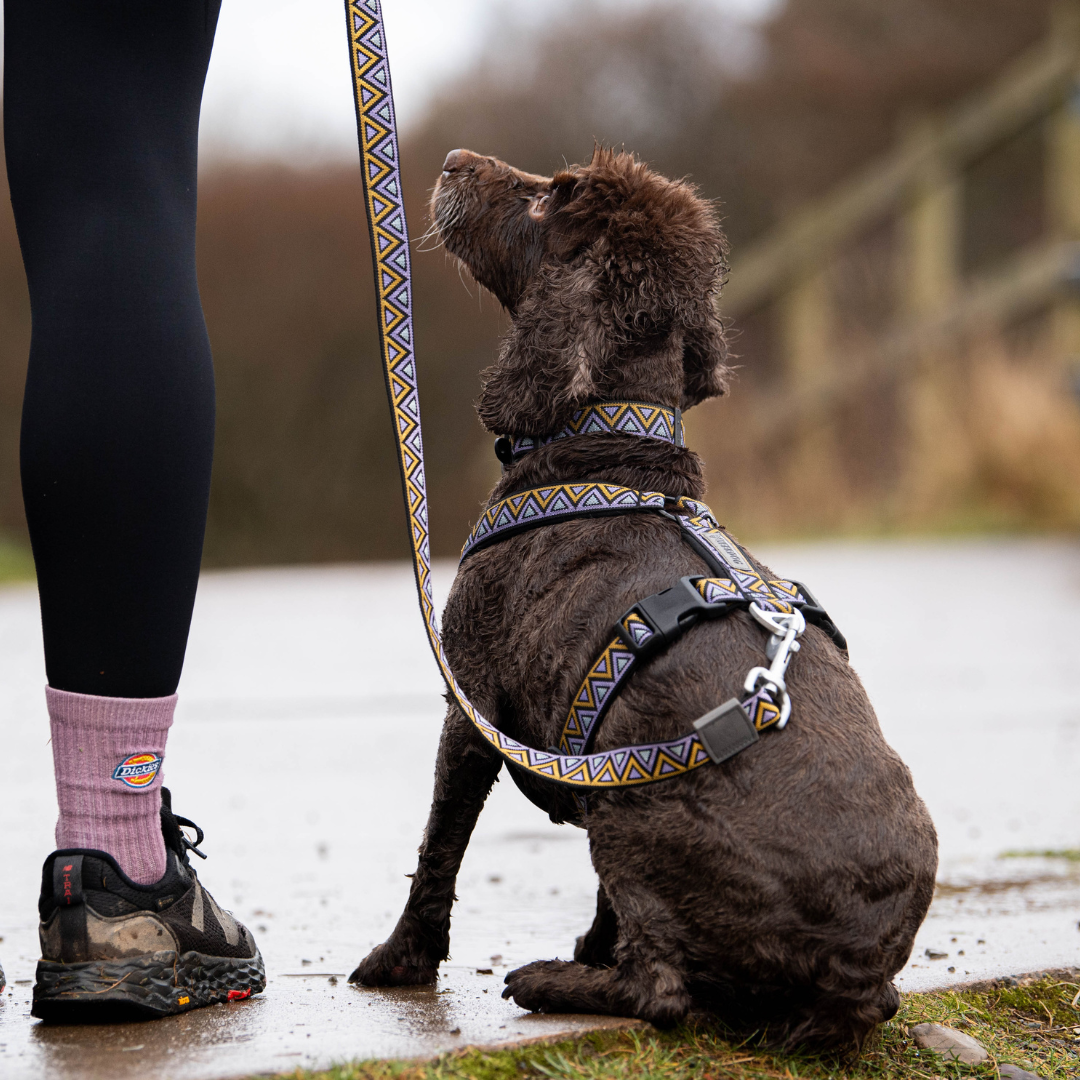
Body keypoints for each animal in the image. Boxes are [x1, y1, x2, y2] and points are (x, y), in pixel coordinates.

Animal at [347, 147, 937, 1049]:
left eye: (552, 197)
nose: (452, 160)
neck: (611, 436)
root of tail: (855, 975)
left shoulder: (470, 700)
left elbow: (439, 845)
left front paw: (399, 961)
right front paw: (592, 944)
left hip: (631, 811)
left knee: (661, 990)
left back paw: (547, 982)